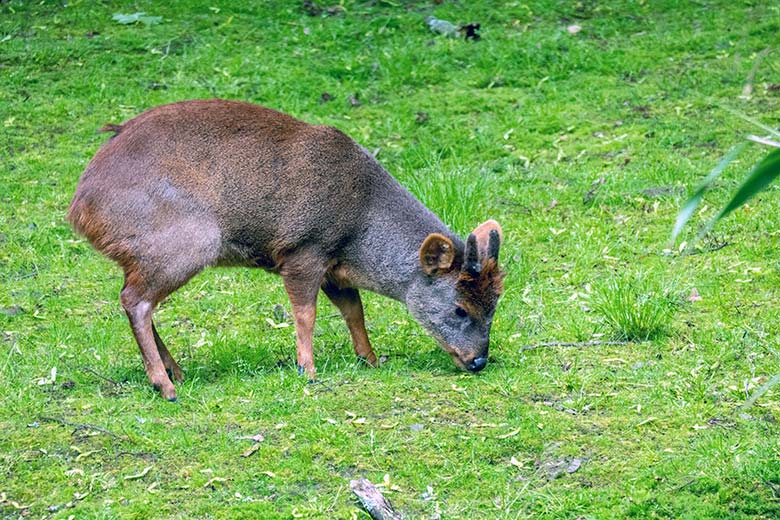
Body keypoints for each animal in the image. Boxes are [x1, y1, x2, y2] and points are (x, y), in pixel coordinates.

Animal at [67, 99, 506, 400]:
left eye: (494, 306)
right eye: (459, 308)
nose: (478, 360)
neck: (359, 226)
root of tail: (80, 207)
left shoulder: (334, 268)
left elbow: (354, 311)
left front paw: (370, 358)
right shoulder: (303, 250)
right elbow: (306, 314)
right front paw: (307, 369)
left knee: (134, 298)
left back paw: (176, 372)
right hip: (183, 242)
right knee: (135, 300)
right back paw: (165, 384)